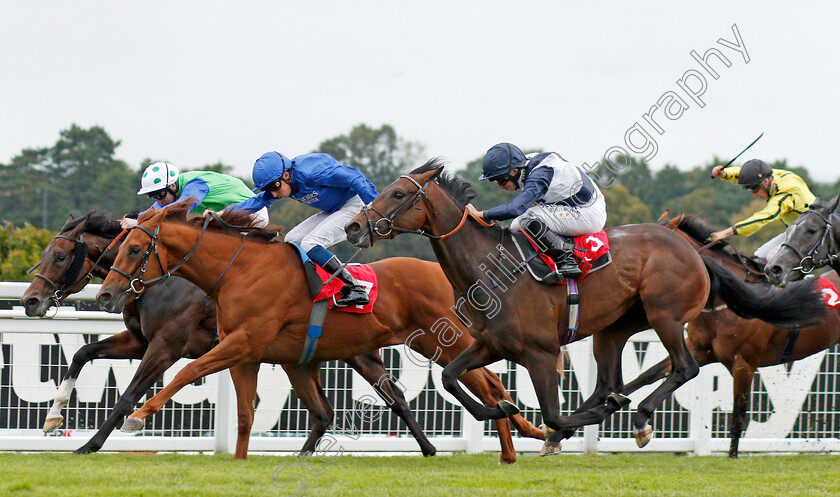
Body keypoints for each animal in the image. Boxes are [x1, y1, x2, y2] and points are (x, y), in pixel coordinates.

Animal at [19, 211, 516, 460]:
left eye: (61, 255)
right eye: (45, 253)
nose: (30, 301)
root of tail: (442, 274)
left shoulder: (171, 345)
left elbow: (138, 391)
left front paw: (95, 441)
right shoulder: (145, 340)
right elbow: (83, 353)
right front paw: (53, 419)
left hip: (439, 338)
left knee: (487, 381)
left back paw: (510, 437)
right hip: (356, 352)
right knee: (383, 399)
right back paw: (436, 447)